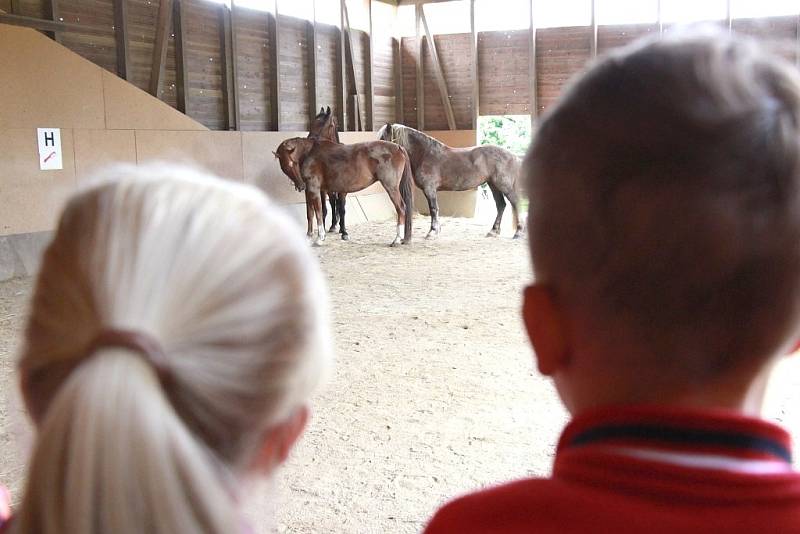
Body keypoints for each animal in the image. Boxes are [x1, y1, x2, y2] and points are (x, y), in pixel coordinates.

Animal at [276, 138, 412, 247]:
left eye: (293, 163)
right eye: (285, 167)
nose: (300, 185)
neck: (309, 154)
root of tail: (398, 147)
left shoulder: (314, 189)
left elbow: (319, 213)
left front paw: (320, 238)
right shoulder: (309, 191)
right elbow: (310, 214)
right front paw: (308, 237)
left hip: (391, 187)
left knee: (401, 208)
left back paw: (396, 240)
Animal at [380, 122, 524, 240]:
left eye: (383, 140)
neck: (425, 154)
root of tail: (514, 156)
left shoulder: (429, 189)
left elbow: (433, 209)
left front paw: (432, 232)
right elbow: (435, 210)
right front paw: (437, 230)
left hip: (504, 186)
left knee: (515, 203)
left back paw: (518, 233)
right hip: (493, 185)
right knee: (501, 205)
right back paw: (493, 231)